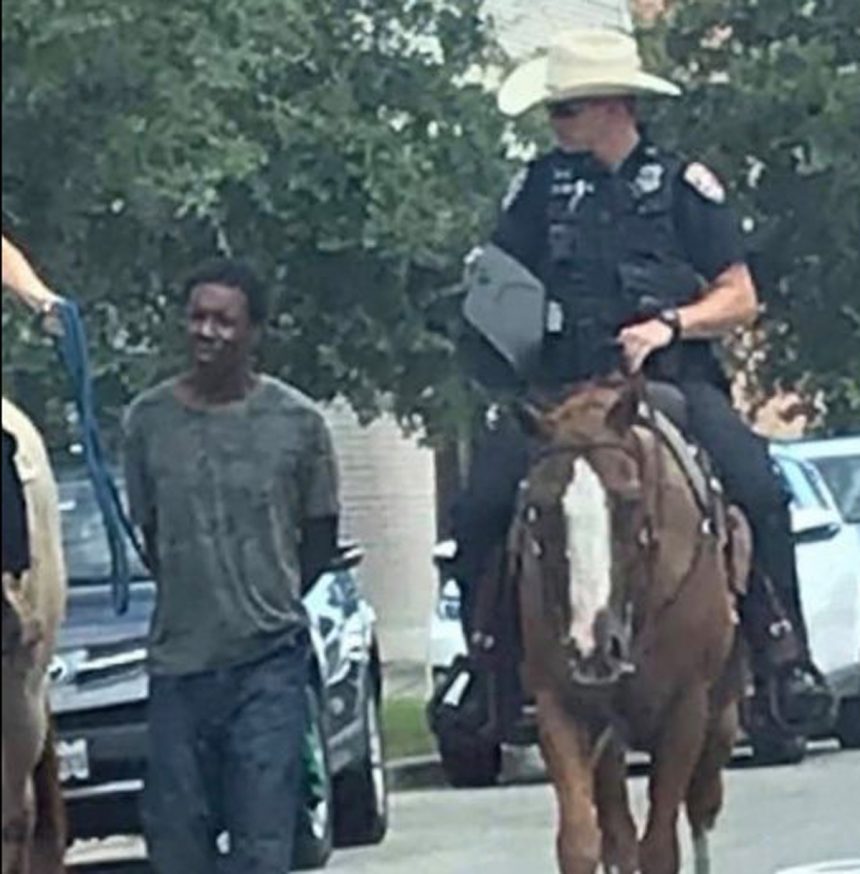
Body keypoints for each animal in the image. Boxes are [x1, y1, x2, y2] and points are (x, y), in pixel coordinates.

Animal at [512, 378, 748, 872]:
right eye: (538, 507)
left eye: (630, 499)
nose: (593, 647)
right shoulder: (559, 704)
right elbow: (581, 843)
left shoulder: (686, 708)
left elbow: (660, 847)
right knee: (618, 832)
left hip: (721, 719)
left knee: (701, 807)